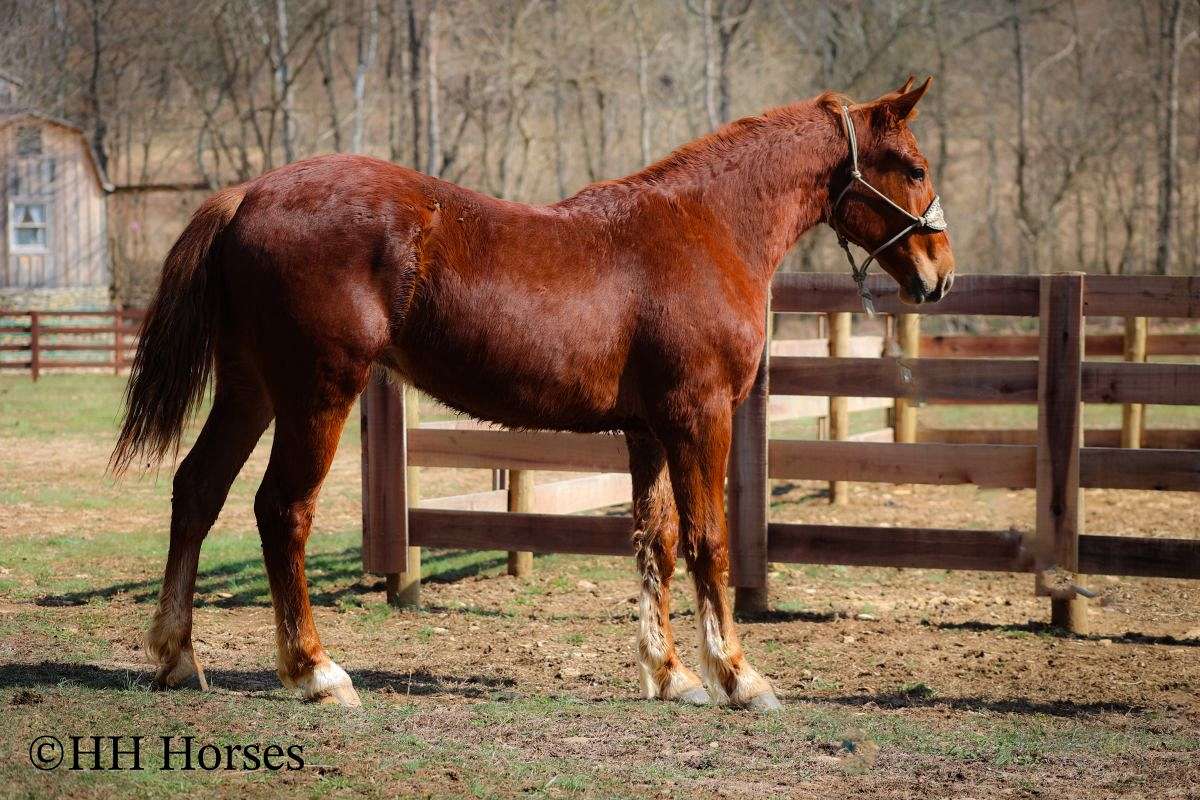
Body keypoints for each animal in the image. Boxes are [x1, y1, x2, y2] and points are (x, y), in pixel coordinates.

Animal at [112, 77, 954, 711]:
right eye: (912, 167)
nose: (941, 274)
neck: (706, 228)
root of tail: (248, 195)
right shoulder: (700, 416)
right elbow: (710, 541)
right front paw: (740, 678)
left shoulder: (648, 430)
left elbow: (658, 540)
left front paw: (671, 674)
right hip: (317, 392)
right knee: (280, 511)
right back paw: (316, 671)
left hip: (251, 389)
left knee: (197, 491)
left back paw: (178, 656)